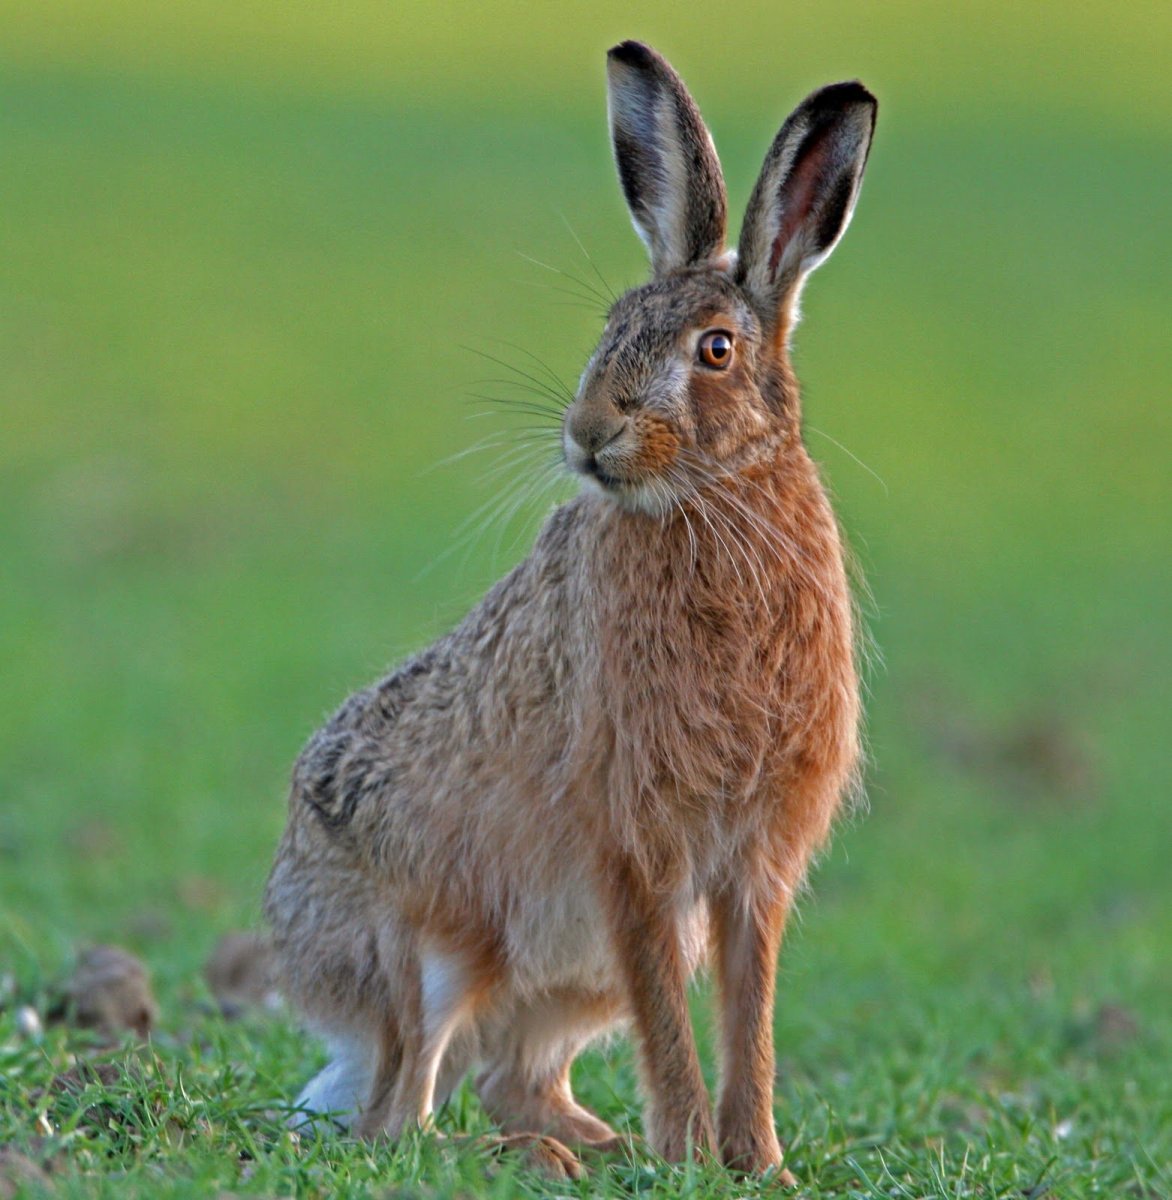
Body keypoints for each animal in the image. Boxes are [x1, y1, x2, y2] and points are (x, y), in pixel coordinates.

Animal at [264, 39, 876, 1183]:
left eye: (715, 349)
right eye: (609, 328)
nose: (588, 434)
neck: (705, 501)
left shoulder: (750, 866)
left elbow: (751, 1011)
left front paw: (758, 1161)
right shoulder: (631, 847)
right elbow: (669, 1017)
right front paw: (689, 1155)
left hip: (561, 985)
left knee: (510, 1077)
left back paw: (581, 1143)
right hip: (421, 955)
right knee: (398, 1116)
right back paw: (536, 1158)